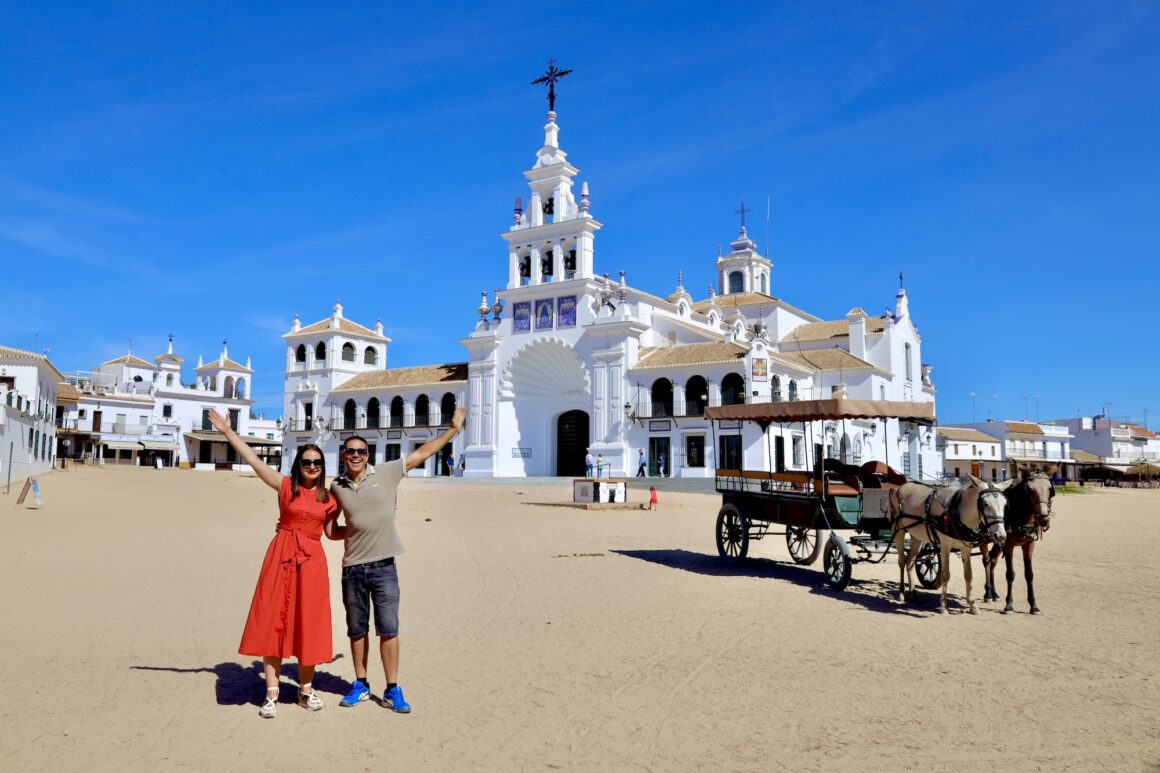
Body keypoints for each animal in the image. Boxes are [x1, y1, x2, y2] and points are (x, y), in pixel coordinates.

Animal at [886, 468, 1016, 612]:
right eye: (985, 504)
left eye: (1005, 504)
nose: (1001, 535)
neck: (955, 510)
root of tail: (898, 488)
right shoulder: (945, 546)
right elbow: (945, 574)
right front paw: (943, 605)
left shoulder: (966, 547)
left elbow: (968, 574)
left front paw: (972, 604)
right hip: (899, 531)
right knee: (902, 562)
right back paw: (901, 593)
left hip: (917, 536)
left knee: (910, 561)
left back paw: (913, 593)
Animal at [983, 464, 1057, 612]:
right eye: (1029, 489)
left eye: (1050, 489)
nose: (1043, 518)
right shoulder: (1008, 545)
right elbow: (1010, 574)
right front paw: (1009, 604)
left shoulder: (1029, 544)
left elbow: (1029, 574)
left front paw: (1033, 605)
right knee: (986, 560)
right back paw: (988, 592)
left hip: (997, 541)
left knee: (992, 560)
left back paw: (994, 593)